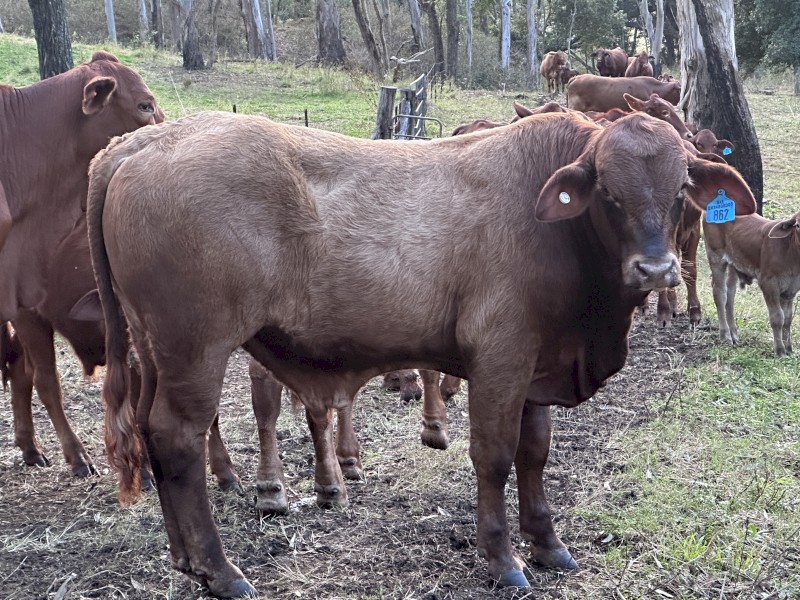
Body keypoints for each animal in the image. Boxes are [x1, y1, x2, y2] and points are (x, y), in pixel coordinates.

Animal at [86, 110, 755, 598]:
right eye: (610, 195)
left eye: (679, 191)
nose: (656, 269)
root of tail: (145, 140)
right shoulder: (499, 361)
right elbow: (495, 457)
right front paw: (503, 558)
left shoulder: (536, 367)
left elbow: (535, 455)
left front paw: (547, 544)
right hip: (195, 351)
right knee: (178, 439)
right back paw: (220, 571)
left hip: (154, 352)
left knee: (151, 434)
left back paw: (187, 559)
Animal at [704, 211, 800, 356]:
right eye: (798, 225)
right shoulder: (768, 284)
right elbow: (778, 317)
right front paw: (780, 350)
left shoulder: (791, 289)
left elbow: (787, 319)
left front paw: (789, 349)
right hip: (715, 255)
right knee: (719, 293)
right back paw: (725, 335)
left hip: (733, 263)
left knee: (730, 295)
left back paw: (734, 334)